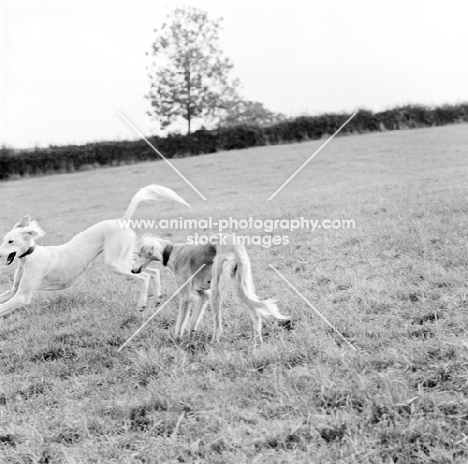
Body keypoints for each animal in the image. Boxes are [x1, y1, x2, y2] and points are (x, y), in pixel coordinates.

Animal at [0, 185, 190, 320]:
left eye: (11, 241)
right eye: (4, 239)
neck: (29, 257)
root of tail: (120, 220)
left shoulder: (22, 296)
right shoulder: (14, 291)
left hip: (114, 263)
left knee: (144, 277)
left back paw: (142, 304)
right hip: (126, 261)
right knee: (153, 271)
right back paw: (157, 298)